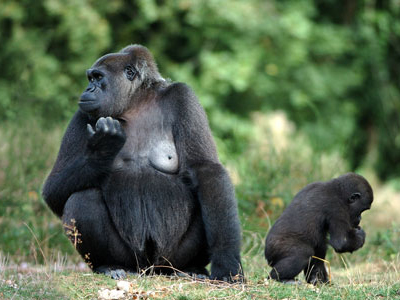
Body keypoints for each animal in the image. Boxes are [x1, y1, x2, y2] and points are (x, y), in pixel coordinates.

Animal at [42, 44, 242, 282]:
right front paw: (101, 151)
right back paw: (108, 265)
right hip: (134, 261)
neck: (135, 103)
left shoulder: (183, 97)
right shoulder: (81, 114)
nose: (88, 89)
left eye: (98, 77)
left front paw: (226, 261)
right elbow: (53, 190)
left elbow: (206, 170)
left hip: (169, 261)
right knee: (82, 199)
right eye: (90, 78)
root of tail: (151, 270)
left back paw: (191, 268)